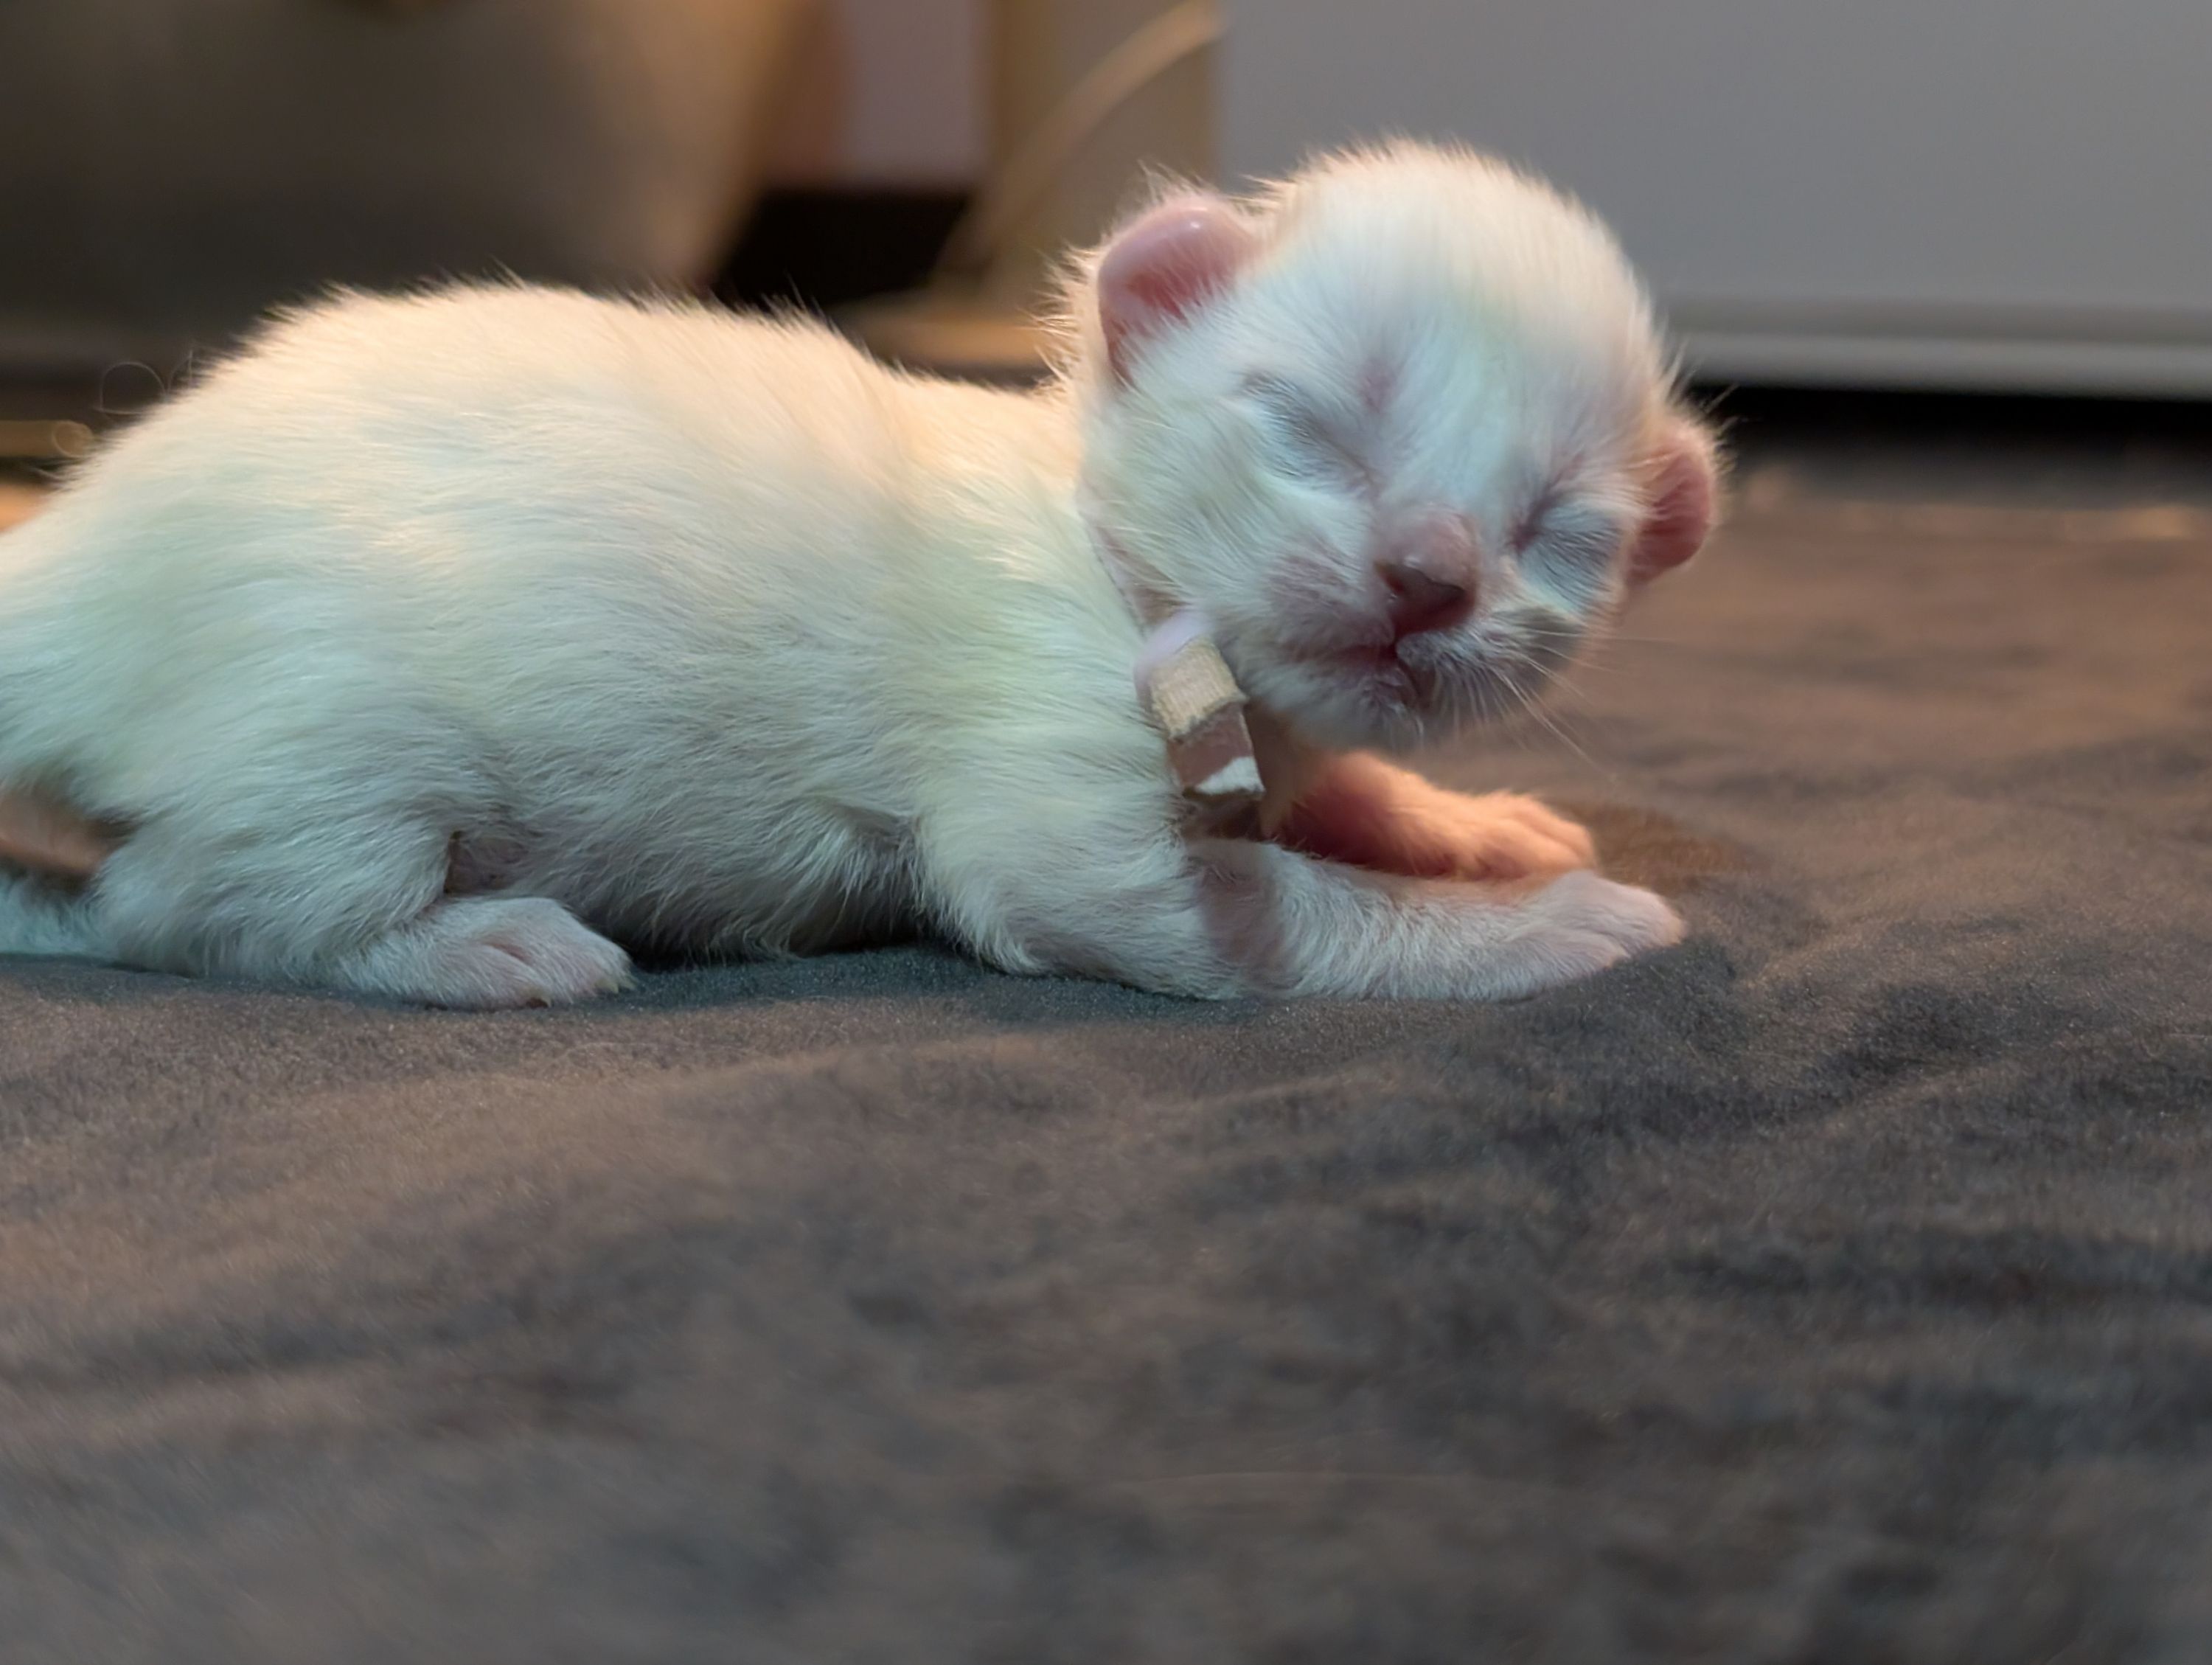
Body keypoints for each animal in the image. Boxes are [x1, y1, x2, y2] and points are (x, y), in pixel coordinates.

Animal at [0, 141, 1717, 1008]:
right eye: (1315, 426)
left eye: (1559, 527)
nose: (1428, 575)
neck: (1107, 561)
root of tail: (80, 546)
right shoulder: (1050, 792)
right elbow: (1263, 906)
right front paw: (1552, 922)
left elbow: (1339, 796)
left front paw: (1480, 827)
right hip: (326, 765)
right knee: (175, 914)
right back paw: (488, 945)